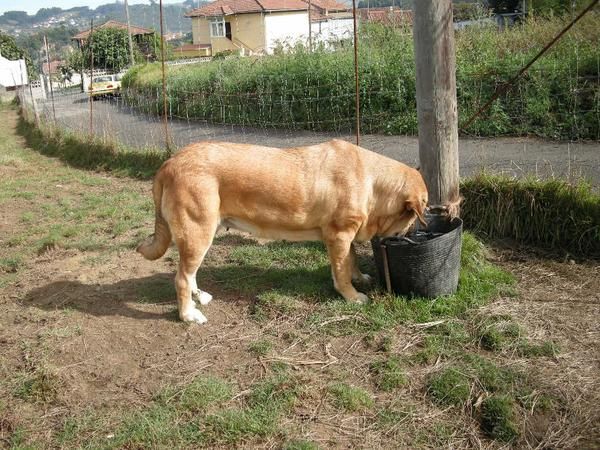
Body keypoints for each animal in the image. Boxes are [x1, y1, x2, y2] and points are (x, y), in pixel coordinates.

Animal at [137, 140, 426, 324]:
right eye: (415, 216)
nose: (415, 233)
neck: (373, 183)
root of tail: (170, 162)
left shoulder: (344, 235)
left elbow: (350, 259)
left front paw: (360, 277)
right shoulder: (339, 235)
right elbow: (341, 272)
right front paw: (352, 296)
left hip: (202, 235)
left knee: (190, 274)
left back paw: (200, 297)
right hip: (198, 232)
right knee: (182, 279)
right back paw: (189, 314)